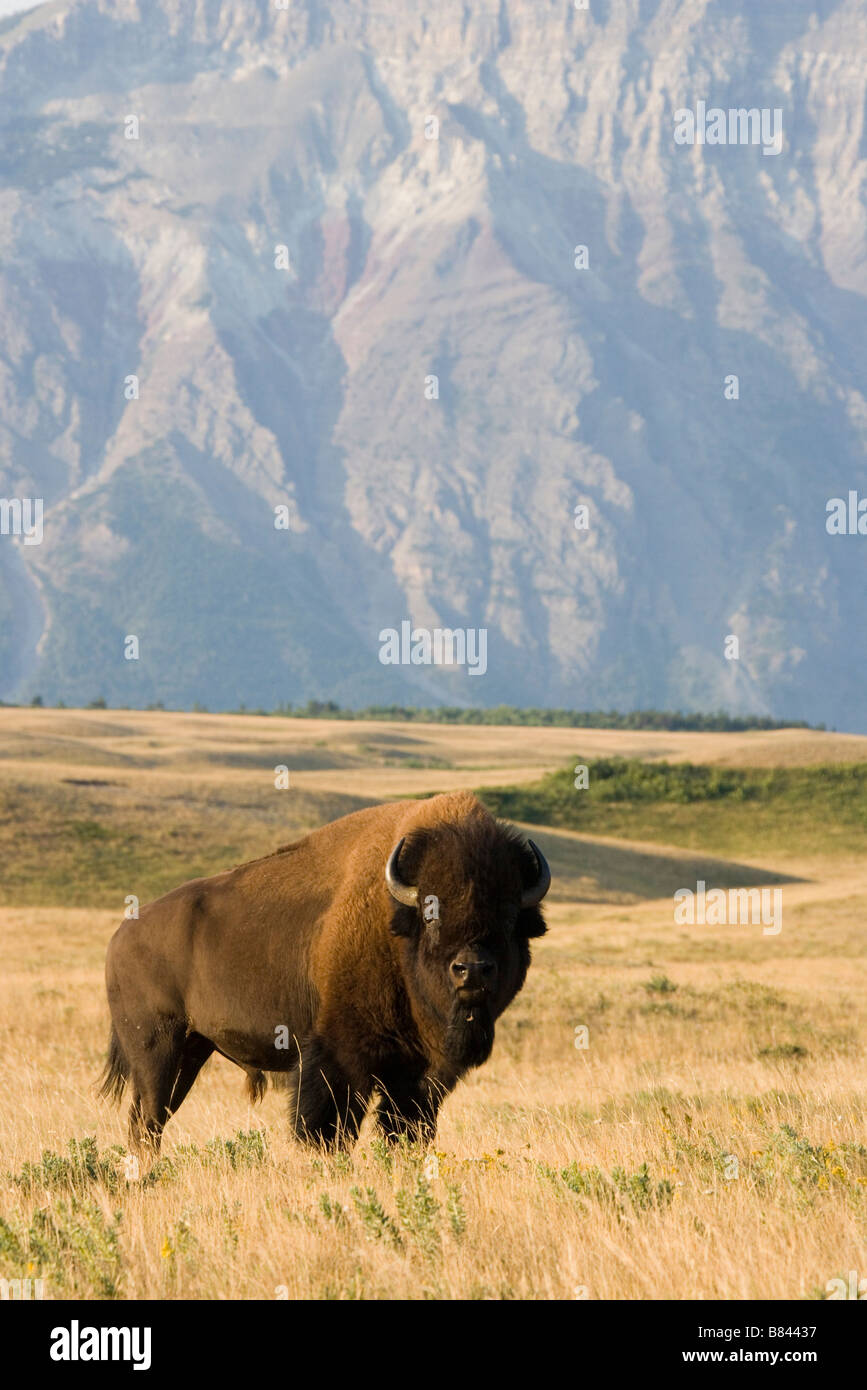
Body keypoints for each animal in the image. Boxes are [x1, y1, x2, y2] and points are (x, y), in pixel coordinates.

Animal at [100, 795, 547, 1150]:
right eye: (430, 912)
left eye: (510, 917)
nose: (472, 970)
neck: (394, 925)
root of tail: (120, 937)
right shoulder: (338, 1055)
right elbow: (326, 1126)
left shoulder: (421, 1074)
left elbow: (405, 1127)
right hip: (158, 1049)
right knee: (148, 1119)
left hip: (192, 1049)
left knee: (150, 1119)